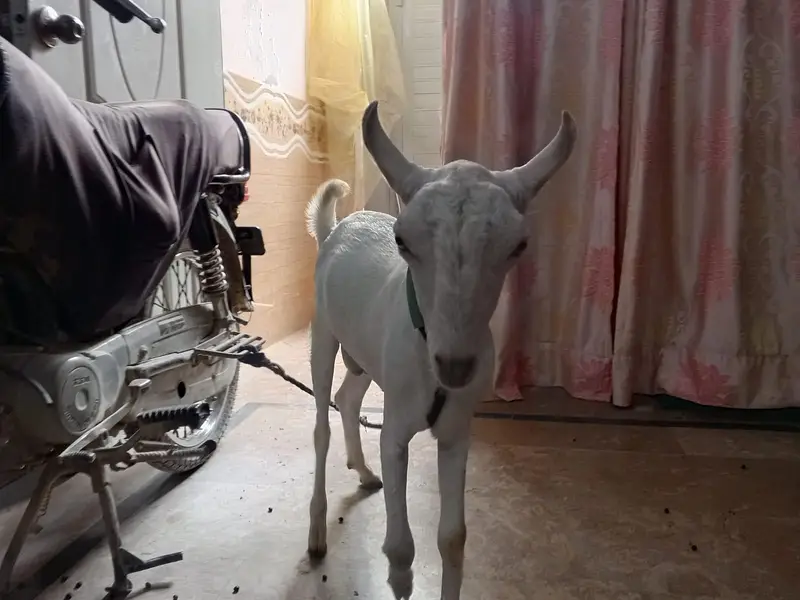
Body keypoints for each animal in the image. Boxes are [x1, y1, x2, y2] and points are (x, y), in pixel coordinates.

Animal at [305, 101, 576, 600]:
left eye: (518, 245)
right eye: (402, 240)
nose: (455, 365)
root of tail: (336, 228)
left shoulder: (456, 432)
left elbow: (453, 539)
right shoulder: (395, 430)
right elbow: (399, 552)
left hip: (365, 356)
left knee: (347, 398)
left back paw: (364, 472)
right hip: (323, 335)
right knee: (321, 423)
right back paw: (316, 535)